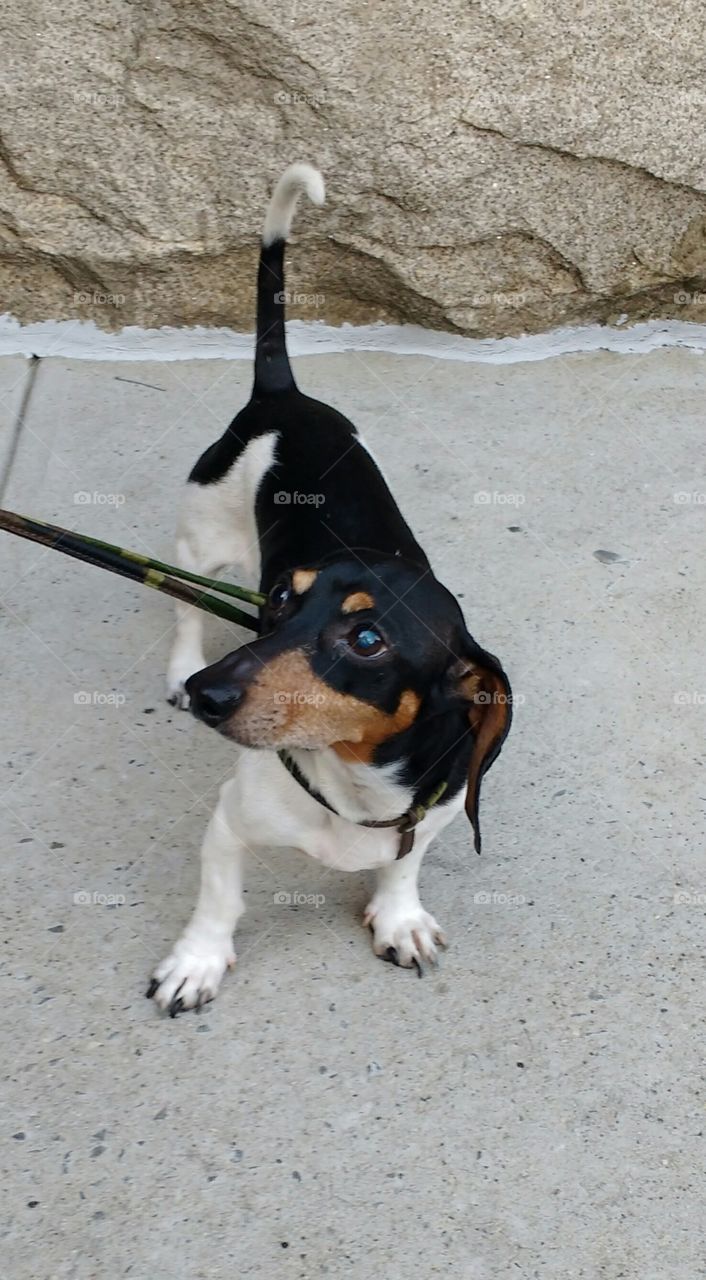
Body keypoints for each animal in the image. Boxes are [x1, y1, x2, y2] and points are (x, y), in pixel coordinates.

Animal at [149, 162, 514, 1018]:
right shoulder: (231, 822)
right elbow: (219, 899)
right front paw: (197, 962)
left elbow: (403, 866)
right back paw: (180, 665)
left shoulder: (428, 818)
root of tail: (282, 395)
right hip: (202, 534)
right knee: (182, 604)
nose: (213, 694)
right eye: (283, 600)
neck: (354, 780)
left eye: (367, 638)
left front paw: (399, 915)